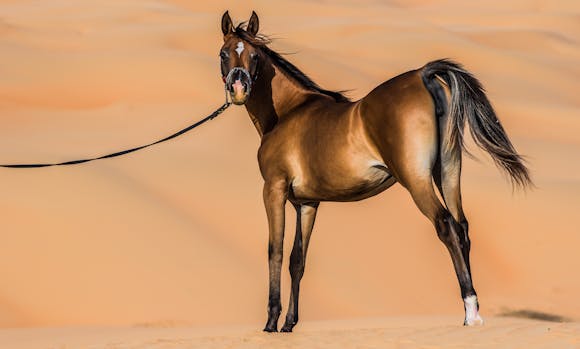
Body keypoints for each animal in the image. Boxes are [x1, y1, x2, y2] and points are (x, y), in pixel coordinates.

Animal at [218, 11, 532, 332]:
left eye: (255, 56)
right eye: (224, 54)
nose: (239, 90)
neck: (288, 112)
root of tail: (422, 75)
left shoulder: (274, 190)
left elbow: (276, 251)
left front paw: (271, 322)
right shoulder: (307, 203)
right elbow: (297, 260)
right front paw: (289, 324)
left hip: (416, 180)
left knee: (446, 225)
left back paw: (470, 312)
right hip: (447, 172)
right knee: (463, 226)